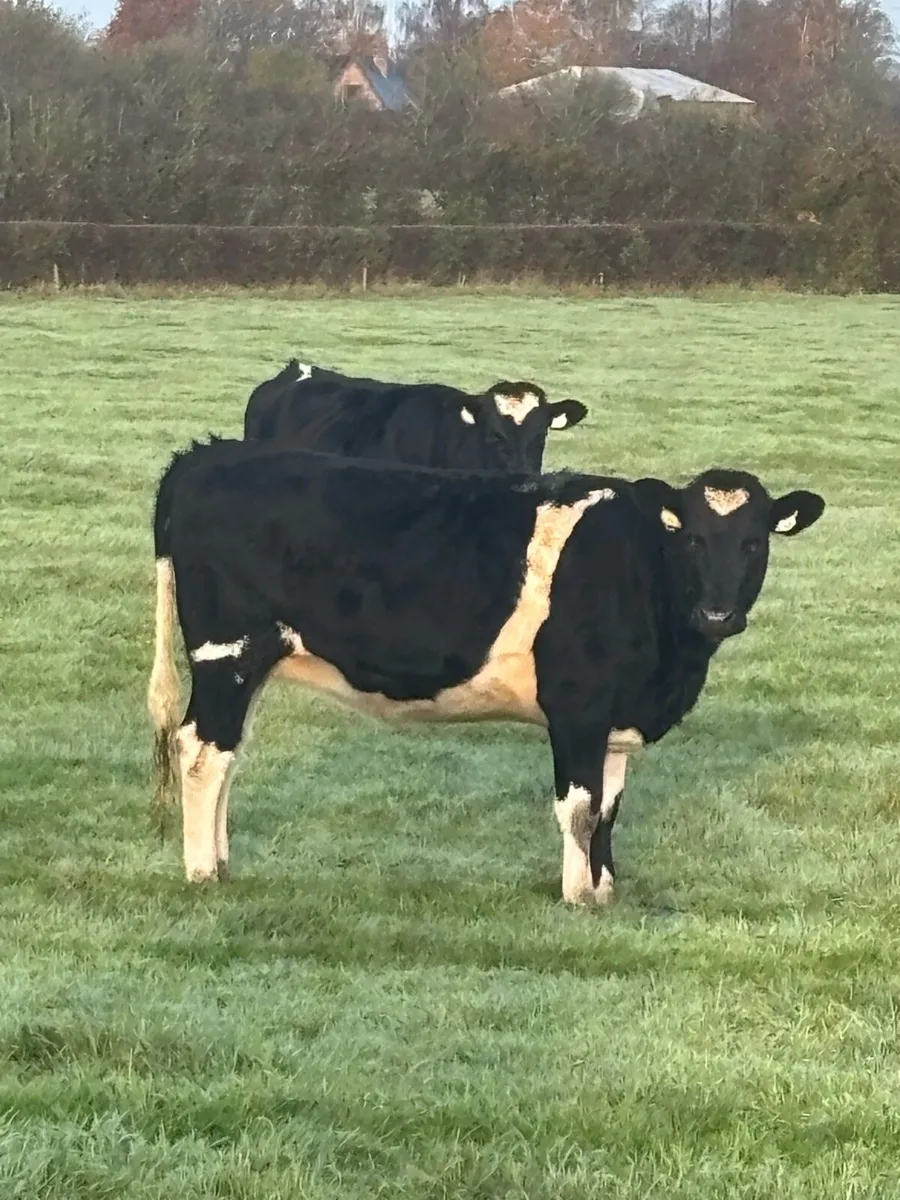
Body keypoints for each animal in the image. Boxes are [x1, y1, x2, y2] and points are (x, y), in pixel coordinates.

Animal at [147, 438, 825, 904]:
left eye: (754, 542)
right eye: (692, 538)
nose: (717, 613)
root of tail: (209, 455)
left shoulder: (614, 718)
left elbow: (610, 808)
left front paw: (606, 889)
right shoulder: (577, 707)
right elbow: (581, 807)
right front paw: (578, 897)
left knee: (227, 754)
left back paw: (222, 860)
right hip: (228, 655)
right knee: (203, 753)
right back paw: (202, 871)